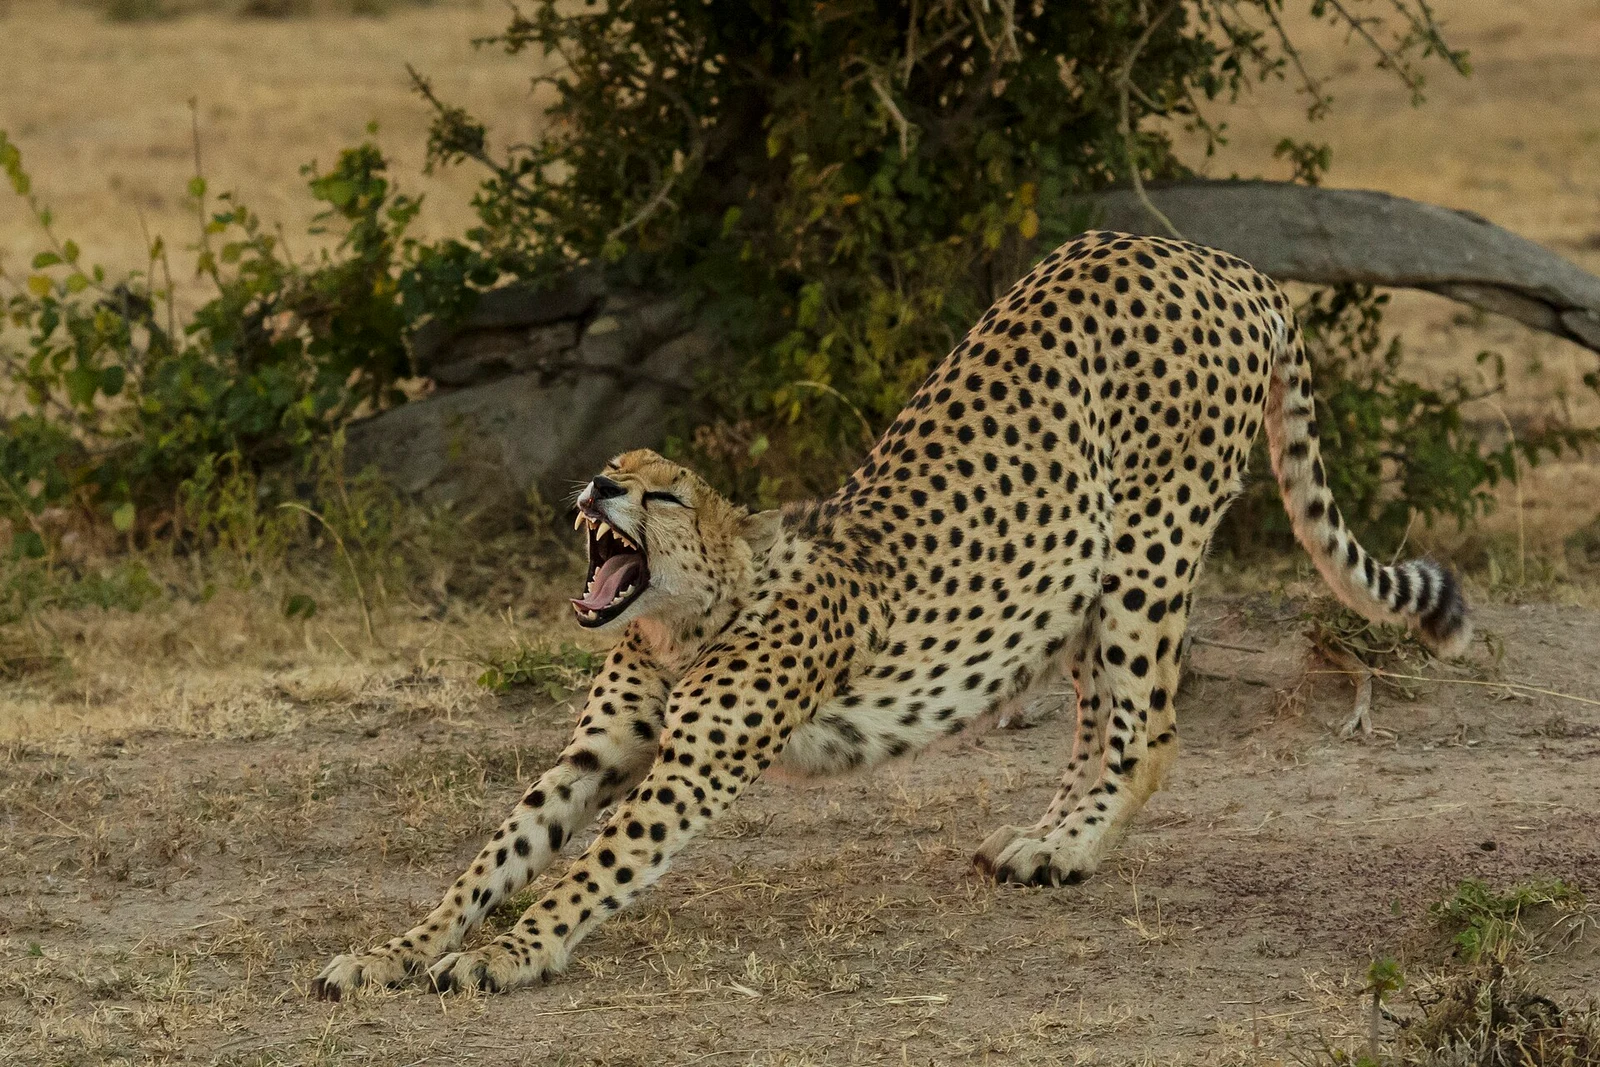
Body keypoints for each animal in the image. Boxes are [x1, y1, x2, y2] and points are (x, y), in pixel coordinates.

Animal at [311, 230, 1470, 1000]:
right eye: (615, 465)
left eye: (664, 492)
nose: (597, 487)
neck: (687, 616)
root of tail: (1216, 257)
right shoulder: (596, 749)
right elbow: (494, 855)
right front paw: (390, 951)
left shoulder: (693, 763)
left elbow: (592, 865)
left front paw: (509, 952)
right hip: (1080, 576)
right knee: (1097, 719)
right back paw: (1043, 840)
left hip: (1153, 540)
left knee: (1150, 729)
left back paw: (1073, 848)